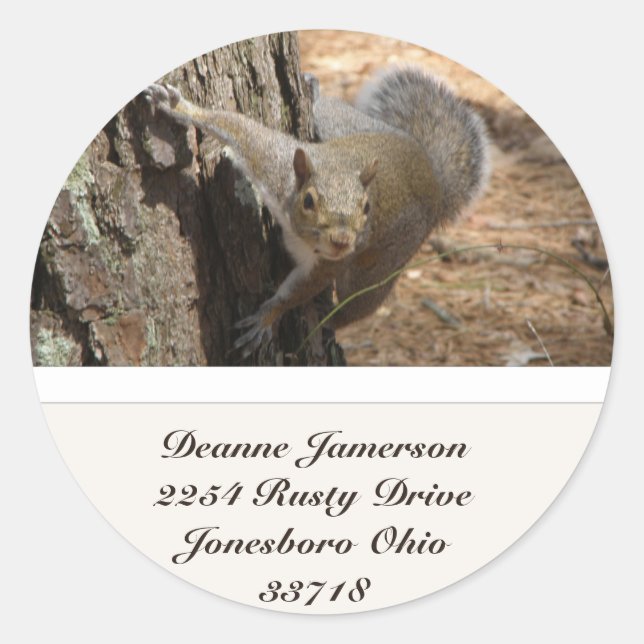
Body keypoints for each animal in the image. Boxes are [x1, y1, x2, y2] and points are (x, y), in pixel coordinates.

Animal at [144, 66, 489, 357]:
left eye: (367, 207)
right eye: (308, 201)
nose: (341, 241)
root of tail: (434, 180)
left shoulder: (331, 264)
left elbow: (299, 292)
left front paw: (266, 318)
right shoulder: (273, 161)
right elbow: (238, 127)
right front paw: (174, 106)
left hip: (382, 265)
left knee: (359, 305)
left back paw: (330, 322)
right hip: (339, 122)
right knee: (325, 110)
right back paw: (315, 89)